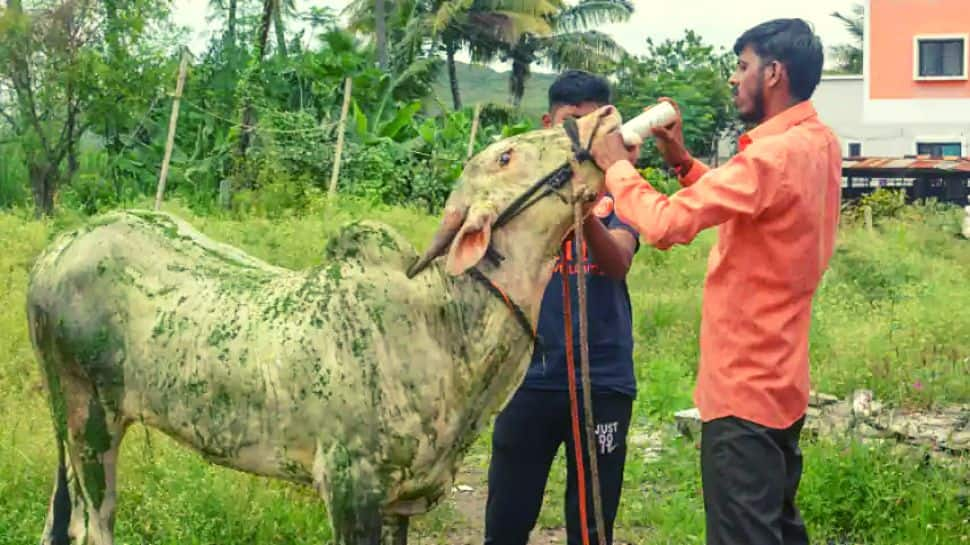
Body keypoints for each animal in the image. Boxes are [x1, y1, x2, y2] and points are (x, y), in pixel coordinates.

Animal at [28, 104, 620, 540]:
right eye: (506, 154)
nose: (605, 116)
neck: (443, 323)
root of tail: (55, 250)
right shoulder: (351, 489)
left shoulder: (400, 504)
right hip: (86, 422)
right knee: (89, 525)